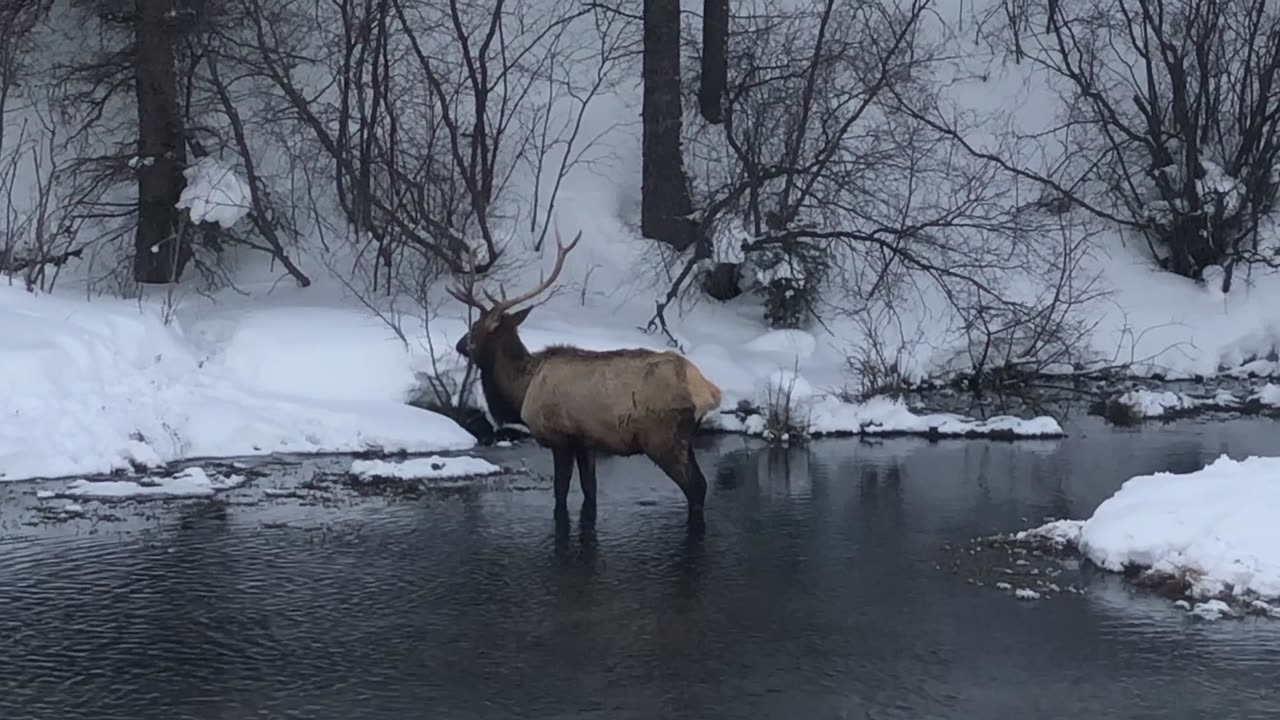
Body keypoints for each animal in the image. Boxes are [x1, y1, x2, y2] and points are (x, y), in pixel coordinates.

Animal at [450, 229, 721, 520]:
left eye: (475, 326)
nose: (459, 344)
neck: (520, 389)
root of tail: (708, 391)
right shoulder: (586, 442)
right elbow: (589, 491)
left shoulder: (560, 437)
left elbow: (560, 492)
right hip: (685, 439)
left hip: (663, 438)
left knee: (695, 486)